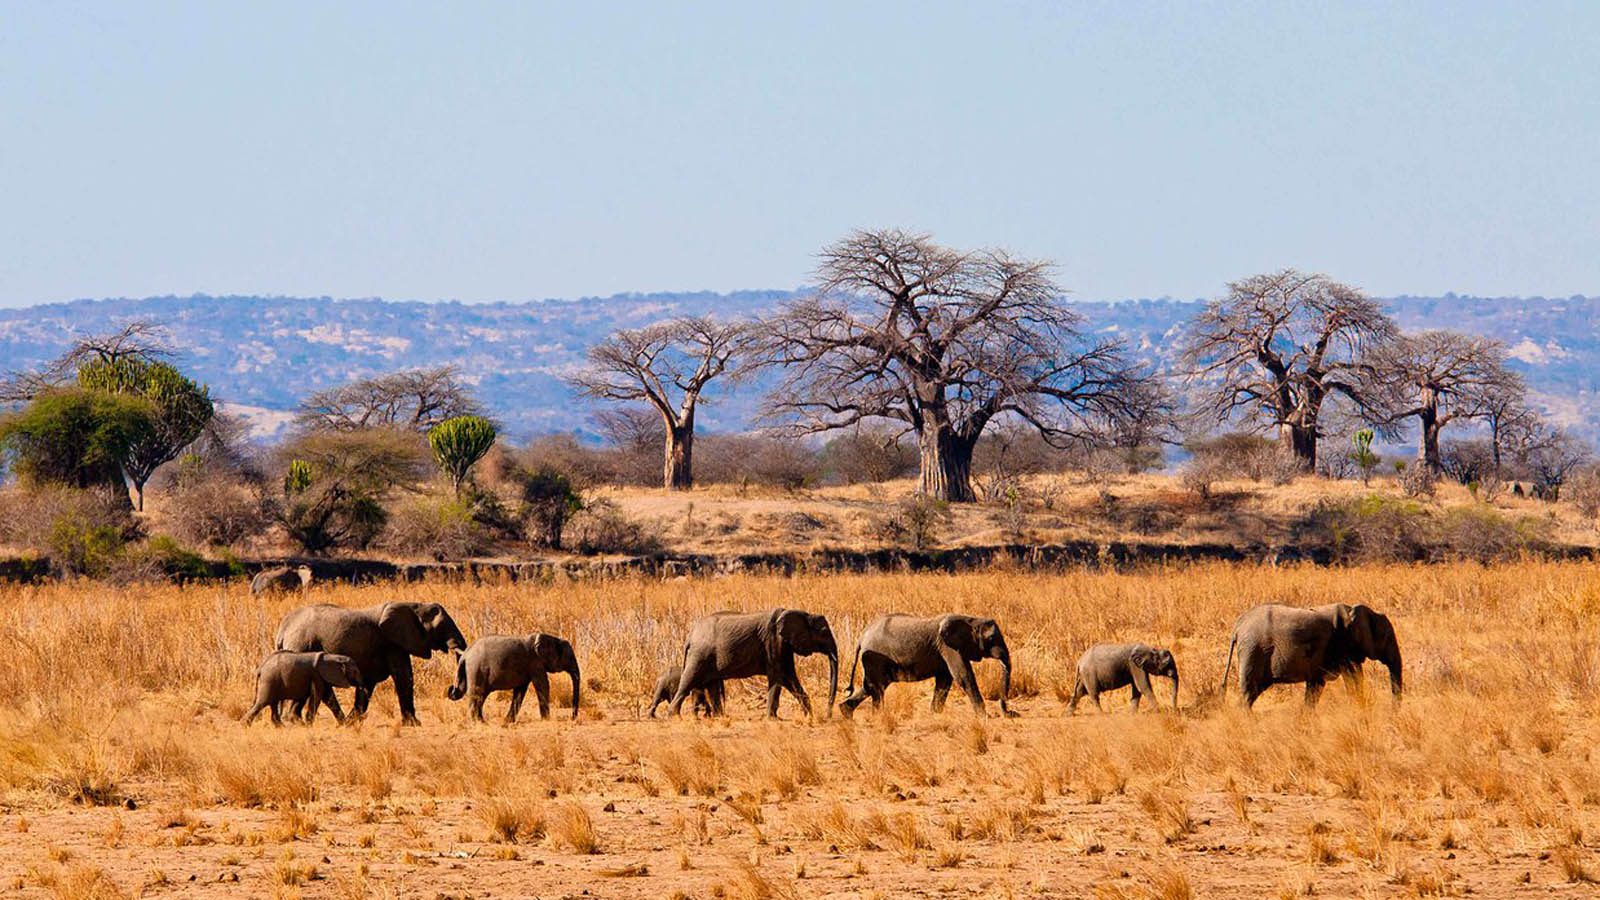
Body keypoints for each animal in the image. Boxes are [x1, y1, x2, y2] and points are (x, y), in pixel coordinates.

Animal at [272, 598, 464, 723]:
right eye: (440, 627)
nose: (450, 690)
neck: (415, 605)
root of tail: (283, 629)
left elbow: (369, 684)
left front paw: (354, 722)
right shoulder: (391, 643)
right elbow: (404, 677)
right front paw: (414, 724)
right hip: (302, 646)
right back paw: (296, 721)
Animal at [444, 630, 582, 720]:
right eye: (570, 657)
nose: (572, 717)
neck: (552, 638)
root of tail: (465, 655)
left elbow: (521, 690)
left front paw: (508, 722)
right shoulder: (535, 662)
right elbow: (543, 685)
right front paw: (546, 720)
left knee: (480, 696)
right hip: (476, 669)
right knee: (477, 695)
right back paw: (479, 722)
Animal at [665, 605, 838, 717]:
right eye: (824, 632)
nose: (827, 716)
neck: (803, 613)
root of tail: (690, 636)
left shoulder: (784, 646)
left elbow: (790, 678)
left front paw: (809, 716)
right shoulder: (773, 642)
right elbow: (778, 677)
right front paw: (772, 719)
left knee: (711, 685)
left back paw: (719, 717)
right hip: (700, 655)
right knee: (688, 681)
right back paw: (674, 716)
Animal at [838, 608, 1011, 714]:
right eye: (991, 638)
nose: (1010, 712)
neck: (971, 619)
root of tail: (862, 636)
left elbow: (945, 680)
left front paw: (935, 714)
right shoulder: (949, 647)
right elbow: (963, 676)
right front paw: (983, 716)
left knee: (871, 686)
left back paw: (846, 713)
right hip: (875, 659)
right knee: (876, 687)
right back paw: (877, 716)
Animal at [1222, 602, 1401, 707]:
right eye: (1387, 637)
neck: (1352, 611)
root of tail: (1237, 627)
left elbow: (1316, 686)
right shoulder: (1343, 645)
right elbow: (1354, 677)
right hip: (1253, 650)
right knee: (1249, 691)